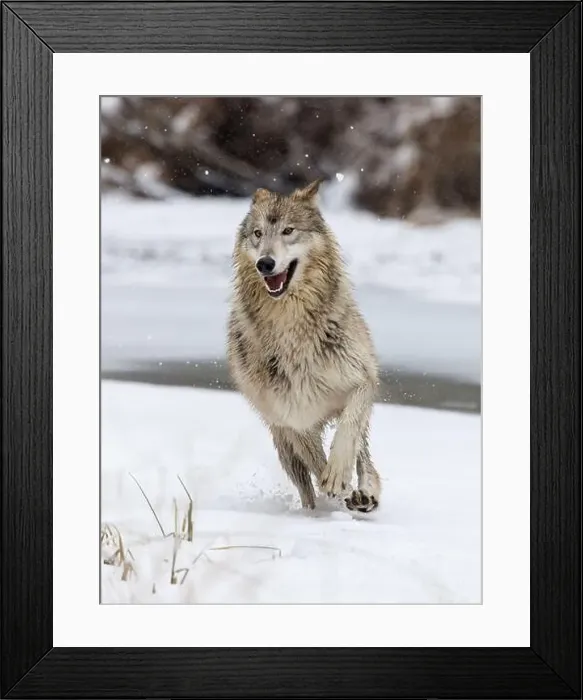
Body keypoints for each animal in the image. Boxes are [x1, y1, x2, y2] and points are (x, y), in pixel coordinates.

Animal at [226, 179, 381, 513]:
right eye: (258, 234)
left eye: (288, 230)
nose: (265, 263)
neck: (292, 326)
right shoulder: (293, 416)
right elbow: (316, 460)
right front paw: (334, 492)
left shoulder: (361, 380)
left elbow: (347, 433)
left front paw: (338, 477)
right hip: (282, 441)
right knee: (305, 484)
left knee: (364, 456)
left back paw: (366, 494)